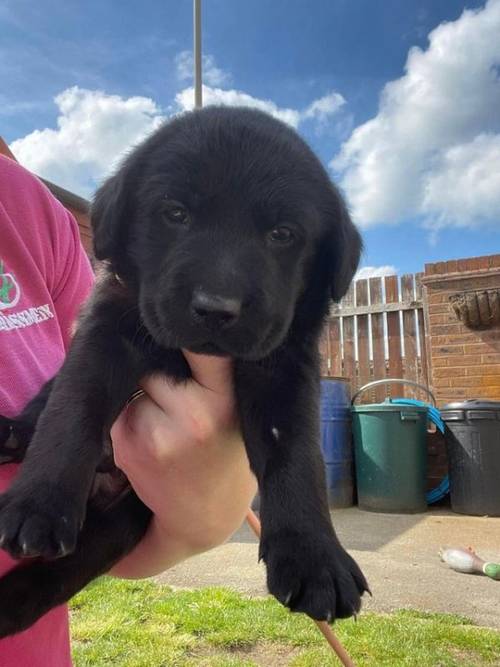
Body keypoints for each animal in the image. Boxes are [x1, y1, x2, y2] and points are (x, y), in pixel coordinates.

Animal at [0, 107, 368, 640]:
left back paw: (5, 606)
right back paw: (12, 434)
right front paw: (40, 502)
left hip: (121, 524)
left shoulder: (285, 365)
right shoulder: (107, 327)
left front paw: (314, 557)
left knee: (61, 573)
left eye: (282, 234)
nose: (216, 308)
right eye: (175, 214)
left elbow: (297, 454)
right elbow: (72, 407)